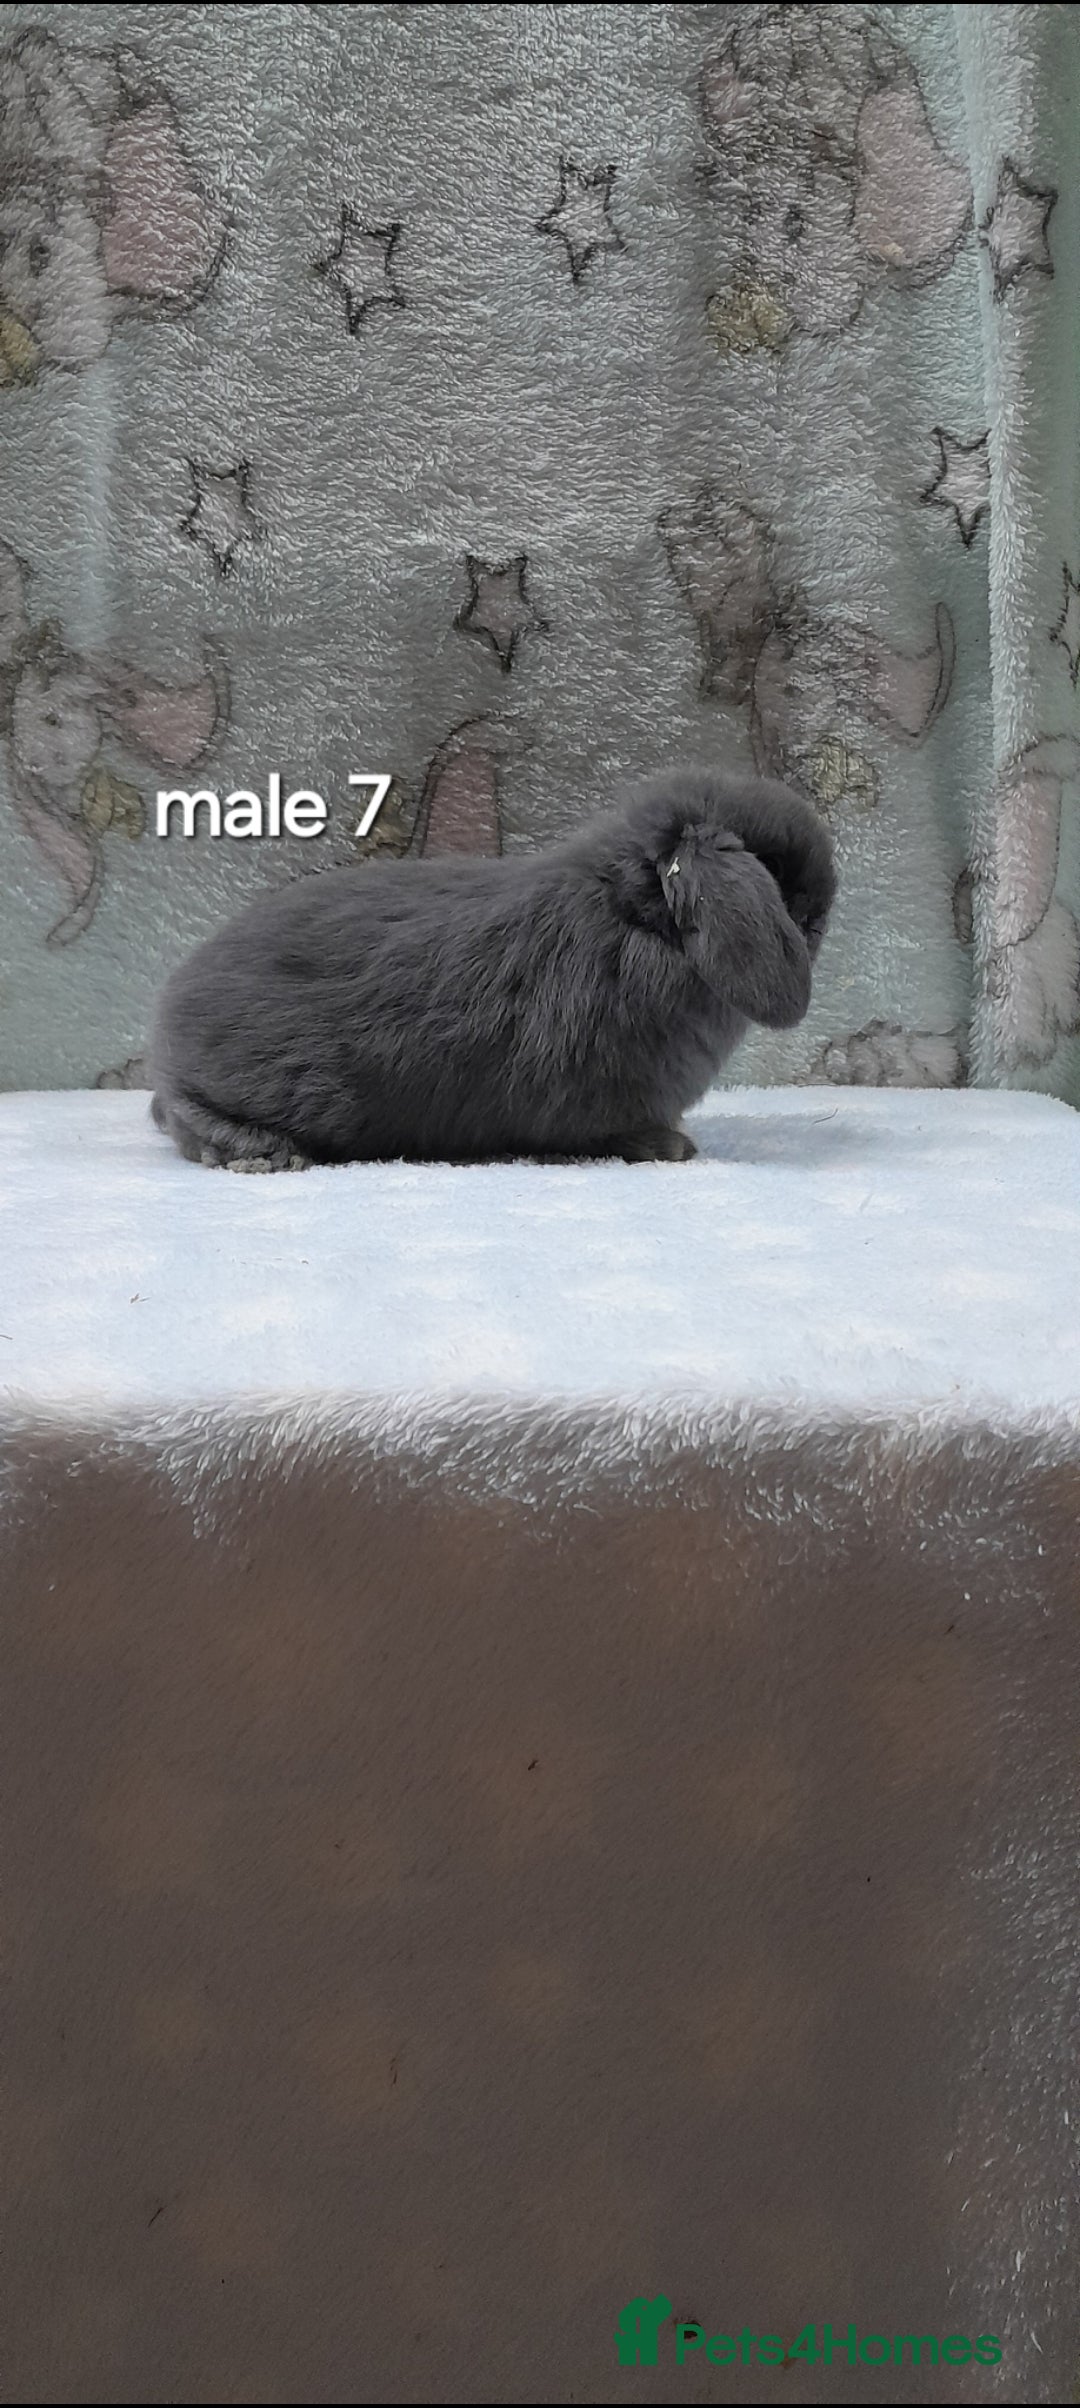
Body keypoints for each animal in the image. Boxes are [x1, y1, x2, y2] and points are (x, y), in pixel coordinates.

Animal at [148, 766, 835, 1168]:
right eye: (775, 868)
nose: (822, 916)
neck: (634, 917)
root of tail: (170, 1017)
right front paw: (673, 1147)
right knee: (183, 1114)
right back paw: (266, 1154)